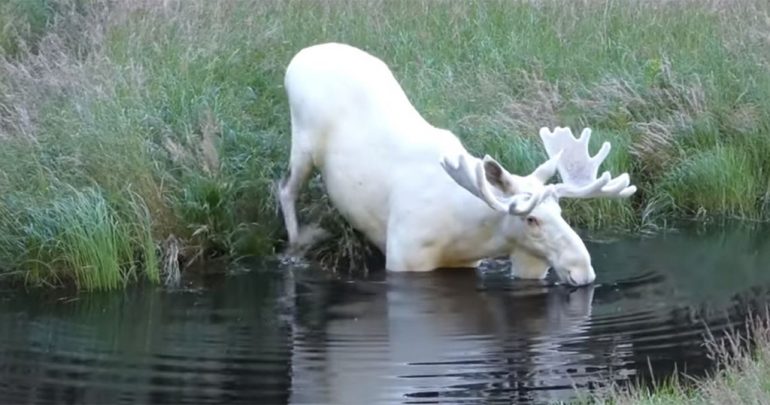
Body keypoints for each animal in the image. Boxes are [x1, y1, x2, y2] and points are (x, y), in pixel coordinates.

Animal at [280, 42, 632, 286]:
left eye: (560, 211)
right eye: (531, 219)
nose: (583, 271)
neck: (470, 236)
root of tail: (298, 57)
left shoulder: (464, 264)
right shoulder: (403, 257)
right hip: (302, 145)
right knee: (285, 190)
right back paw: (296, 246)